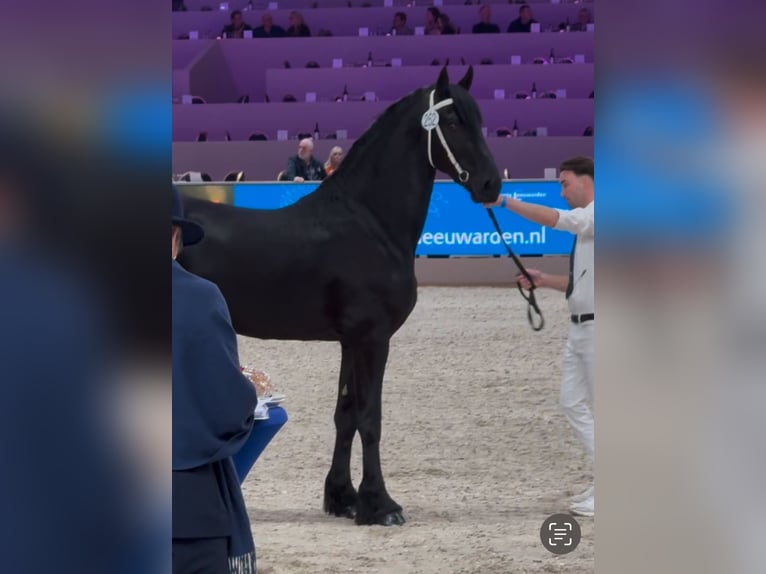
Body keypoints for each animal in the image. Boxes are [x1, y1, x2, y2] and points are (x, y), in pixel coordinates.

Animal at [180, 66, 504, 528]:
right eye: (454, 121)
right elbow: (371, 418)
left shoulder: (351, 341)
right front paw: (381, 504)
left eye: (479, 119)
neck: (368, 222)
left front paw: (344, 498)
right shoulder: (374, 339)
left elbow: (345, 414)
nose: (491, 184)